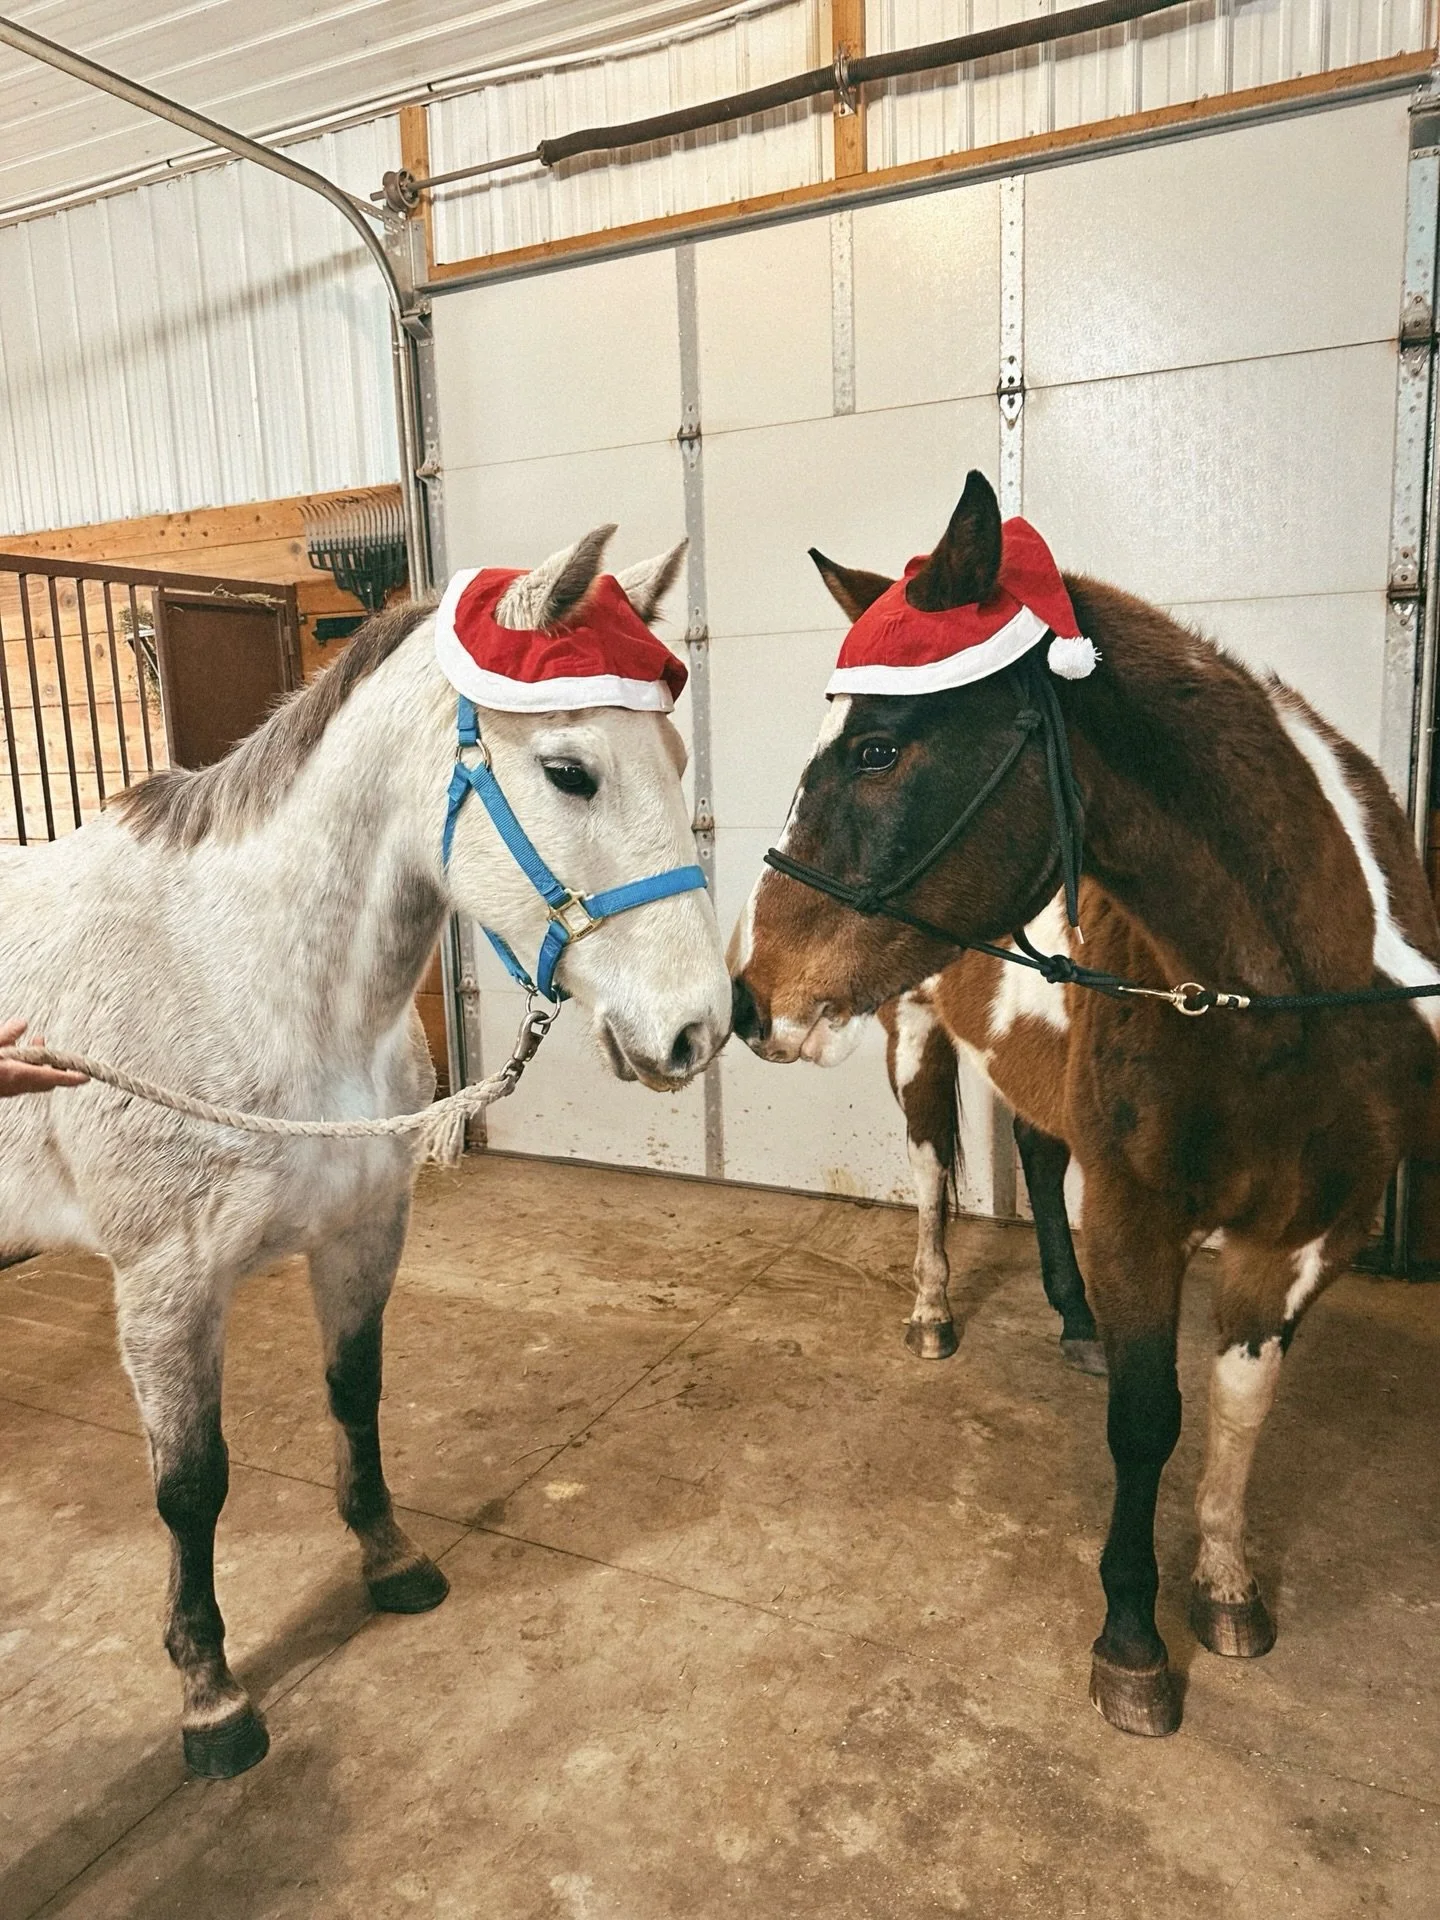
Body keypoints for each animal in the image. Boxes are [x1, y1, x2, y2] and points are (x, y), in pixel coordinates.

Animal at [0, 525, 731, 1777]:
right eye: (570, 771)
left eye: (675, 755)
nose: (699, 1029)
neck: (240, 979)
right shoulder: (164, 1290)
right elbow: (191, 1487)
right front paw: (210, 1697)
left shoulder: (362, 1230)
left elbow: (355, 1391)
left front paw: (388, 1560)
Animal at [730, 470, 1440, 1737]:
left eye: (876, 747)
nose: (750, 997)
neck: (1283, 999)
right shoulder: (1137, 1215)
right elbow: (1150, 1421)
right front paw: (1131, 1641)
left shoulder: (1313, 1229)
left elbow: (1242, 1405)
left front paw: (1225, 1586)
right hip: (914, 1037)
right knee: (933, 1175)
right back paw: (933, 1312)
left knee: (1032, 1145)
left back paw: (1067, 1318)